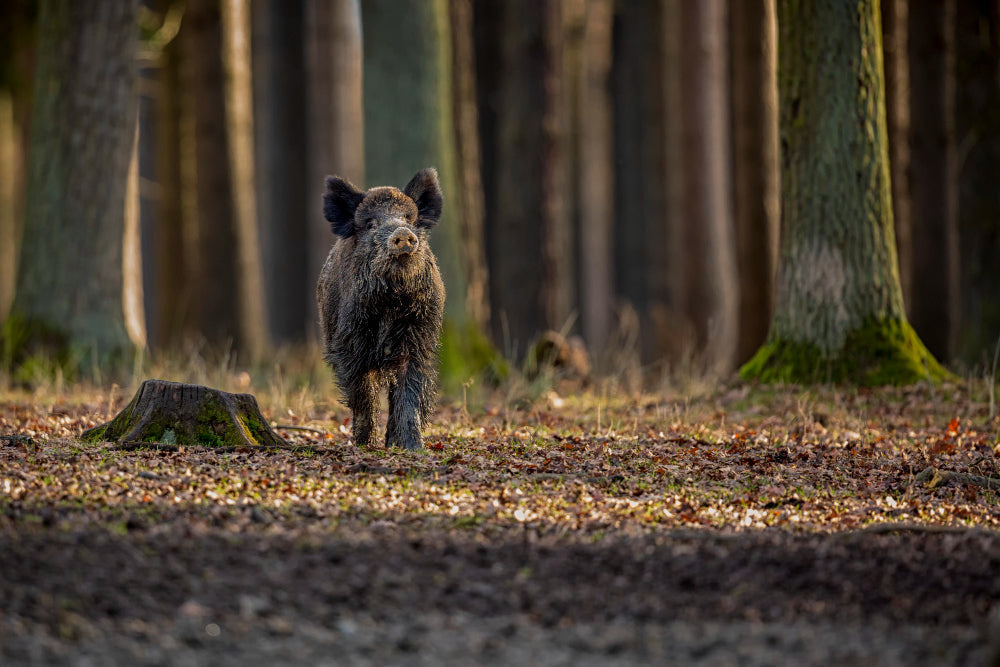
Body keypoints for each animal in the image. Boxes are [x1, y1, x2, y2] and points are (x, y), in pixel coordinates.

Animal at [316, 168, 446, 450]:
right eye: (370, 224)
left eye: (409, 219)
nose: (403, 234)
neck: (391, 302)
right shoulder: (350, 344)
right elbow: (363, 393)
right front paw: (364, 444)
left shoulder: (418, 338)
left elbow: (409, 391)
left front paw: (412, 447)